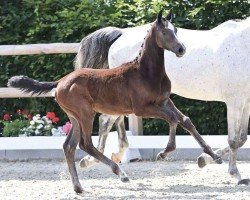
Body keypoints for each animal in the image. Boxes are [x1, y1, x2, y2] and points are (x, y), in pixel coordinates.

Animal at [8, 11, 223, 194]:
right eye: (164, 31)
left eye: (176, 30)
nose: (181, 49)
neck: (145, 72)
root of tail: (60, 82)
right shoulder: (142, 108)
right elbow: (172, 120)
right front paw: (164, 153)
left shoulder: (164, 101)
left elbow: (185, 120)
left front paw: (215, 156)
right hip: (86, 114)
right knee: (86, 144)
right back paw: (121, 174)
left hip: (75, 117)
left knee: (69, 146)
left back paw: (79, 187)